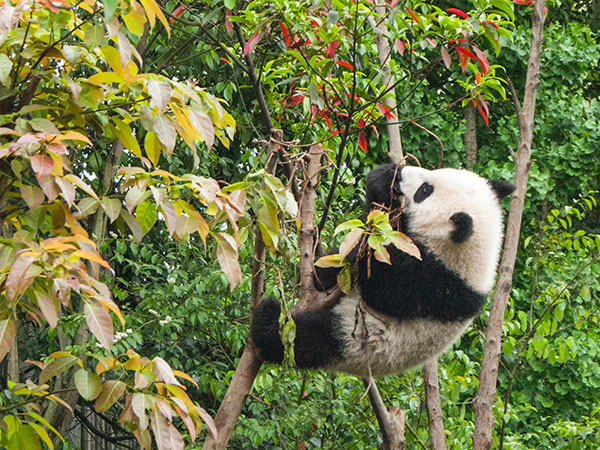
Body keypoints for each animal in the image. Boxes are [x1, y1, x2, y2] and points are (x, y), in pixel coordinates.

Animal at [251, 163, 512, 378]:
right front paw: (384, 178)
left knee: (306, 339)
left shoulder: (436, 285)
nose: (403, 172)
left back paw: (267, 320)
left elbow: (382, 288)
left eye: (425, 190)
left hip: (355, 340)